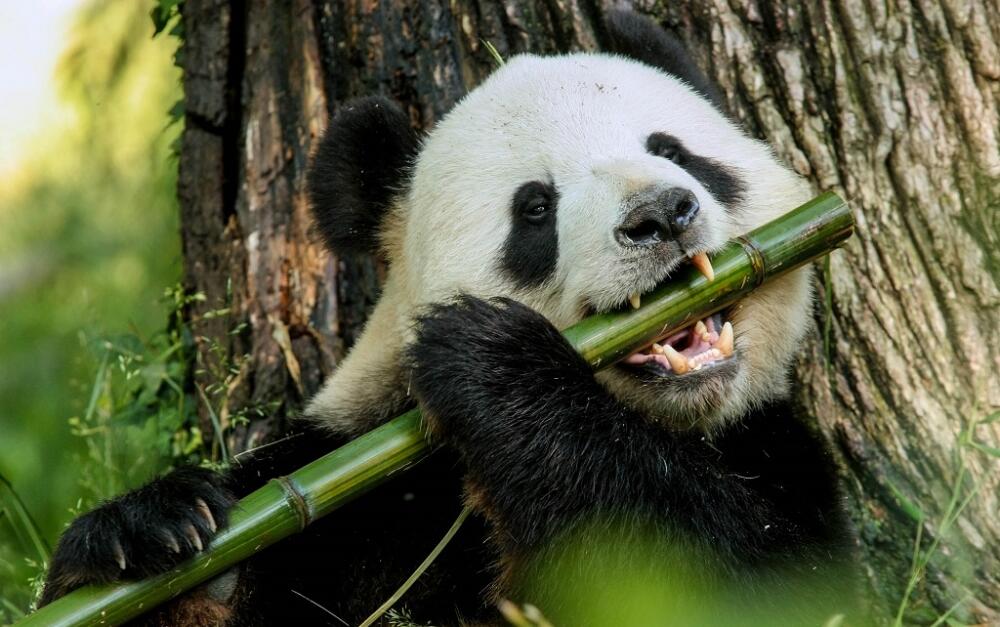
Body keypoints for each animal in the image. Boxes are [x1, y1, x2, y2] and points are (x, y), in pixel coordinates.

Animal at [39, 11, 856, 627]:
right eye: (535, 207)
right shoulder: (354, 493)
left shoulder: (778, 454)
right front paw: (152, 532)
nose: (661, 213)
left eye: (673, 149)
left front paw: (494, 363)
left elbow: (735, 579)